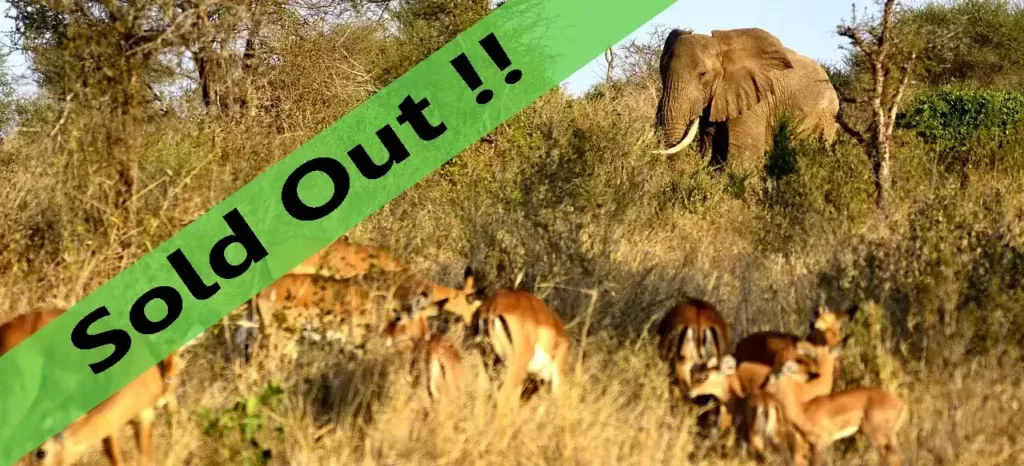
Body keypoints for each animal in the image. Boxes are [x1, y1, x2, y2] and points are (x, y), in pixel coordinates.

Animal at [653, 28, 840, 177]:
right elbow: (713, 150)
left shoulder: (756, 99)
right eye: (662, 71)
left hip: (826, 117)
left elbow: (743, 156)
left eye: (703, 74)